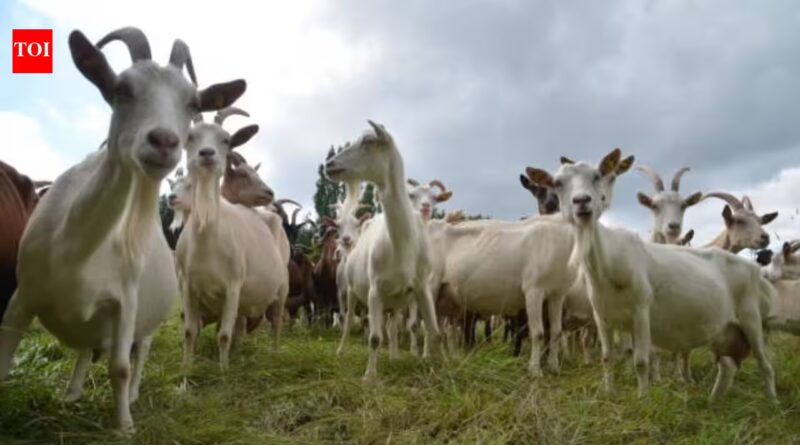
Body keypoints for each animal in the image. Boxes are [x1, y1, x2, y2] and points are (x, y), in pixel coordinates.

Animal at [0, 27, 245, 431]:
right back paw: (72, 394)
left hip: (148, 317)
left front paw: (125, 426)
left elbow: (120, 367)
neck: (76, 251)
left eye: (192, 102)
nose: (164, 141)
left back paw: (130, 396)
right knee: (85, 350)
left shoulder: (126, 301)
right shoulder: (23, 296)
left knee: (139, 351)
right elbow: (5, 360)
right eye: (121, 89)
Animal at [176, 109, 289, 370]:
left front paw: (223, 371)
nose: (207, 153)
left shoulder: (233, 287)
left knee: (277, 322)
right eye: (190, 137)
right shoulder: (188, 287)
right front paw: (186, 368)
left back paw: (275, 353)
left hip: (282, 289)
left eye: (225, 139)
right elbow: (189, 331)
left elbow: (223, 335)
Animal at [326, 121, 441, 380]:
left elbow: (433, 331)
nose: (329, 165)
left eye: (368, 141)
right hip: (351, 291)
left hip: (396, 300)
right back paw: (340, 350)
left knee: (393, 325)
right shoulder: (374, 290)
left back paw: (395, 356)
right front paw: (369, 377)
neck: (403, 243)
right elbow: (374, 337)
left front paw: (439, 368)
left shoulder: (422, 288)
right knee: (348, 321)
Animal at [527, 149, 776, 401]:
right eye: (558, 183)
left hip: (751, 319)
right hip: (723, 330)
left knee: (765, 364)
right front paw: (609, 393)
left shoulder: (641, 311)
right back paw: (713, 401)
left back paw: (773, 401)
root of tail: (754, 270)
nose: (581, 201)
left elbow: (641, 360)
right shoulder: (601, 317)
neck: (610, 262)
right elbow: (607, 357)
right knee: (727, 366)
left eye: (597, 176)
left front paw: (644, 398)